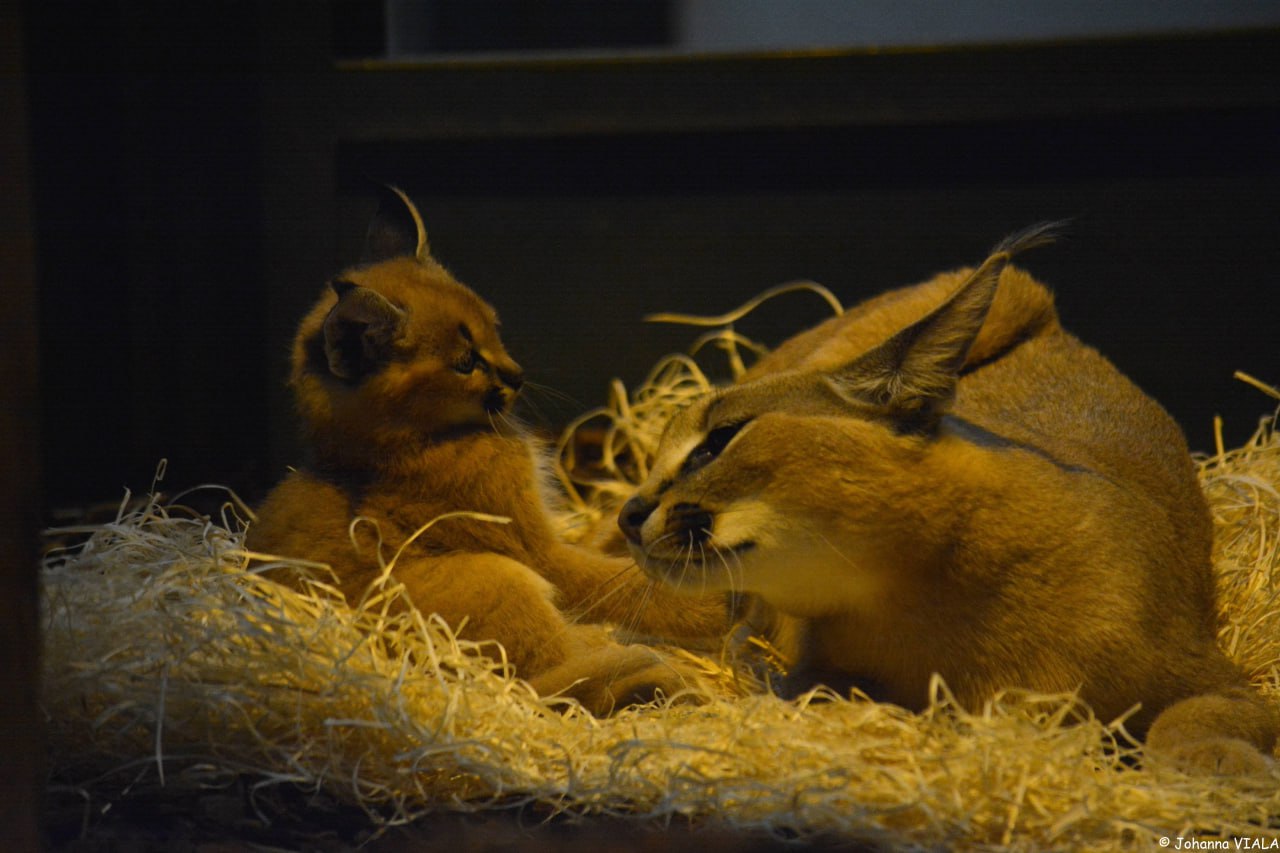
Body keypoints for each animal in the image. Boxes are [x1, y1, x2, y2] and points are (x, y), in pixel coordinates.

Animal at [246, 186, 730, 715]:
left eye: (493, 328)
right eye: (465, 362)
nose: (516, 375)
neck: (407, 444)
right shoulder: (534, 549)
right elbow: (617, 581)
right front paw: (715, 603)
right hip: (496, 575)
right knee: (550, 687)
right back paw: (659, 671)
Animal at [617, 223, 1278, 773]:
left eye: (718, 441)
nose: (630, 512)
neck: (931, 584)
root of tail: (1056, 327)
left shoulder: (1219, 675)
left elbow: (1190, 716)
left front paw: (1222, 768)